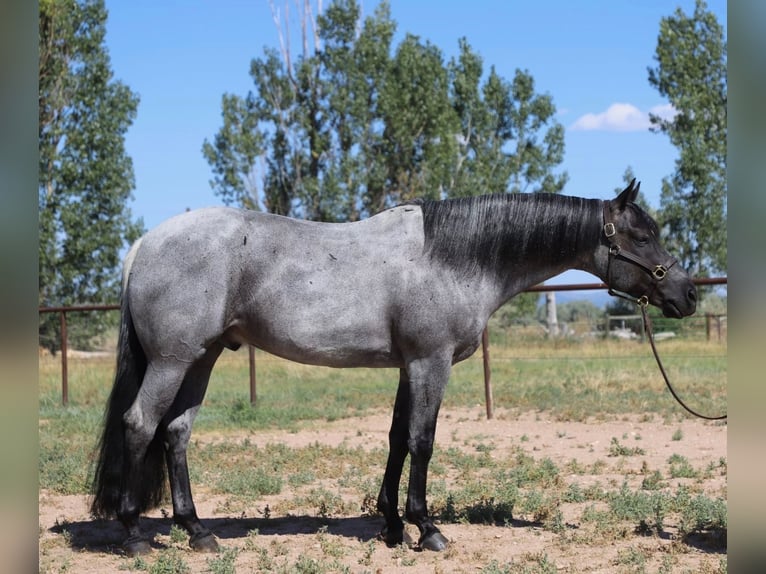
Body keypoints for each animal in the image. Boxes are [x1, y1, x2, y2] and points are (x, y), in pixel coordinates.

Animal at [90, 179, 696, 555]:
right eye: (641, 236)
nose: (687, 295)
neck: (452, 257)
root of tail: (144, 244)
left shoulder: (411, 367)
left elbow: (397, 439)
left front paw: (389, 524)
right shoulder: (431, 363)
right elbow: (423, 441)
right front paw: (427, 529)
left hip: (202, 357)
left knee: (175, 433)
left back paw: (197, 532)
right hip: (173, 361)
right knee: (140, 425)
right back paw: (135, 534)